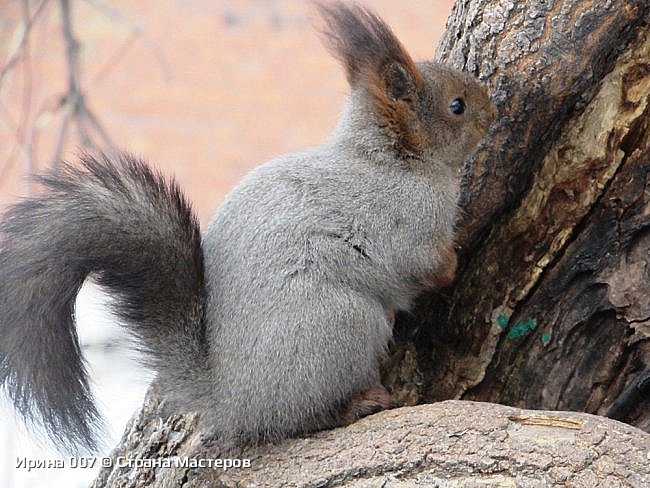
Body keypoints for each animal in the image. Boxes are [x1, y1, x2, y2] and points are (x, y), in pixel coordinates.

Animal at [0, 2, 492, 454]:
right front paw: (453, 261)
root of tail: (232, 399)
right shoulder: (406, 225)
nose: (491, 106)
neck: (391, 159)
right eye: (457, 106)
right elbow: (422, 265)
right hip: (342, 324)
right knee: (300, 416)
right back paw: (354, 404)